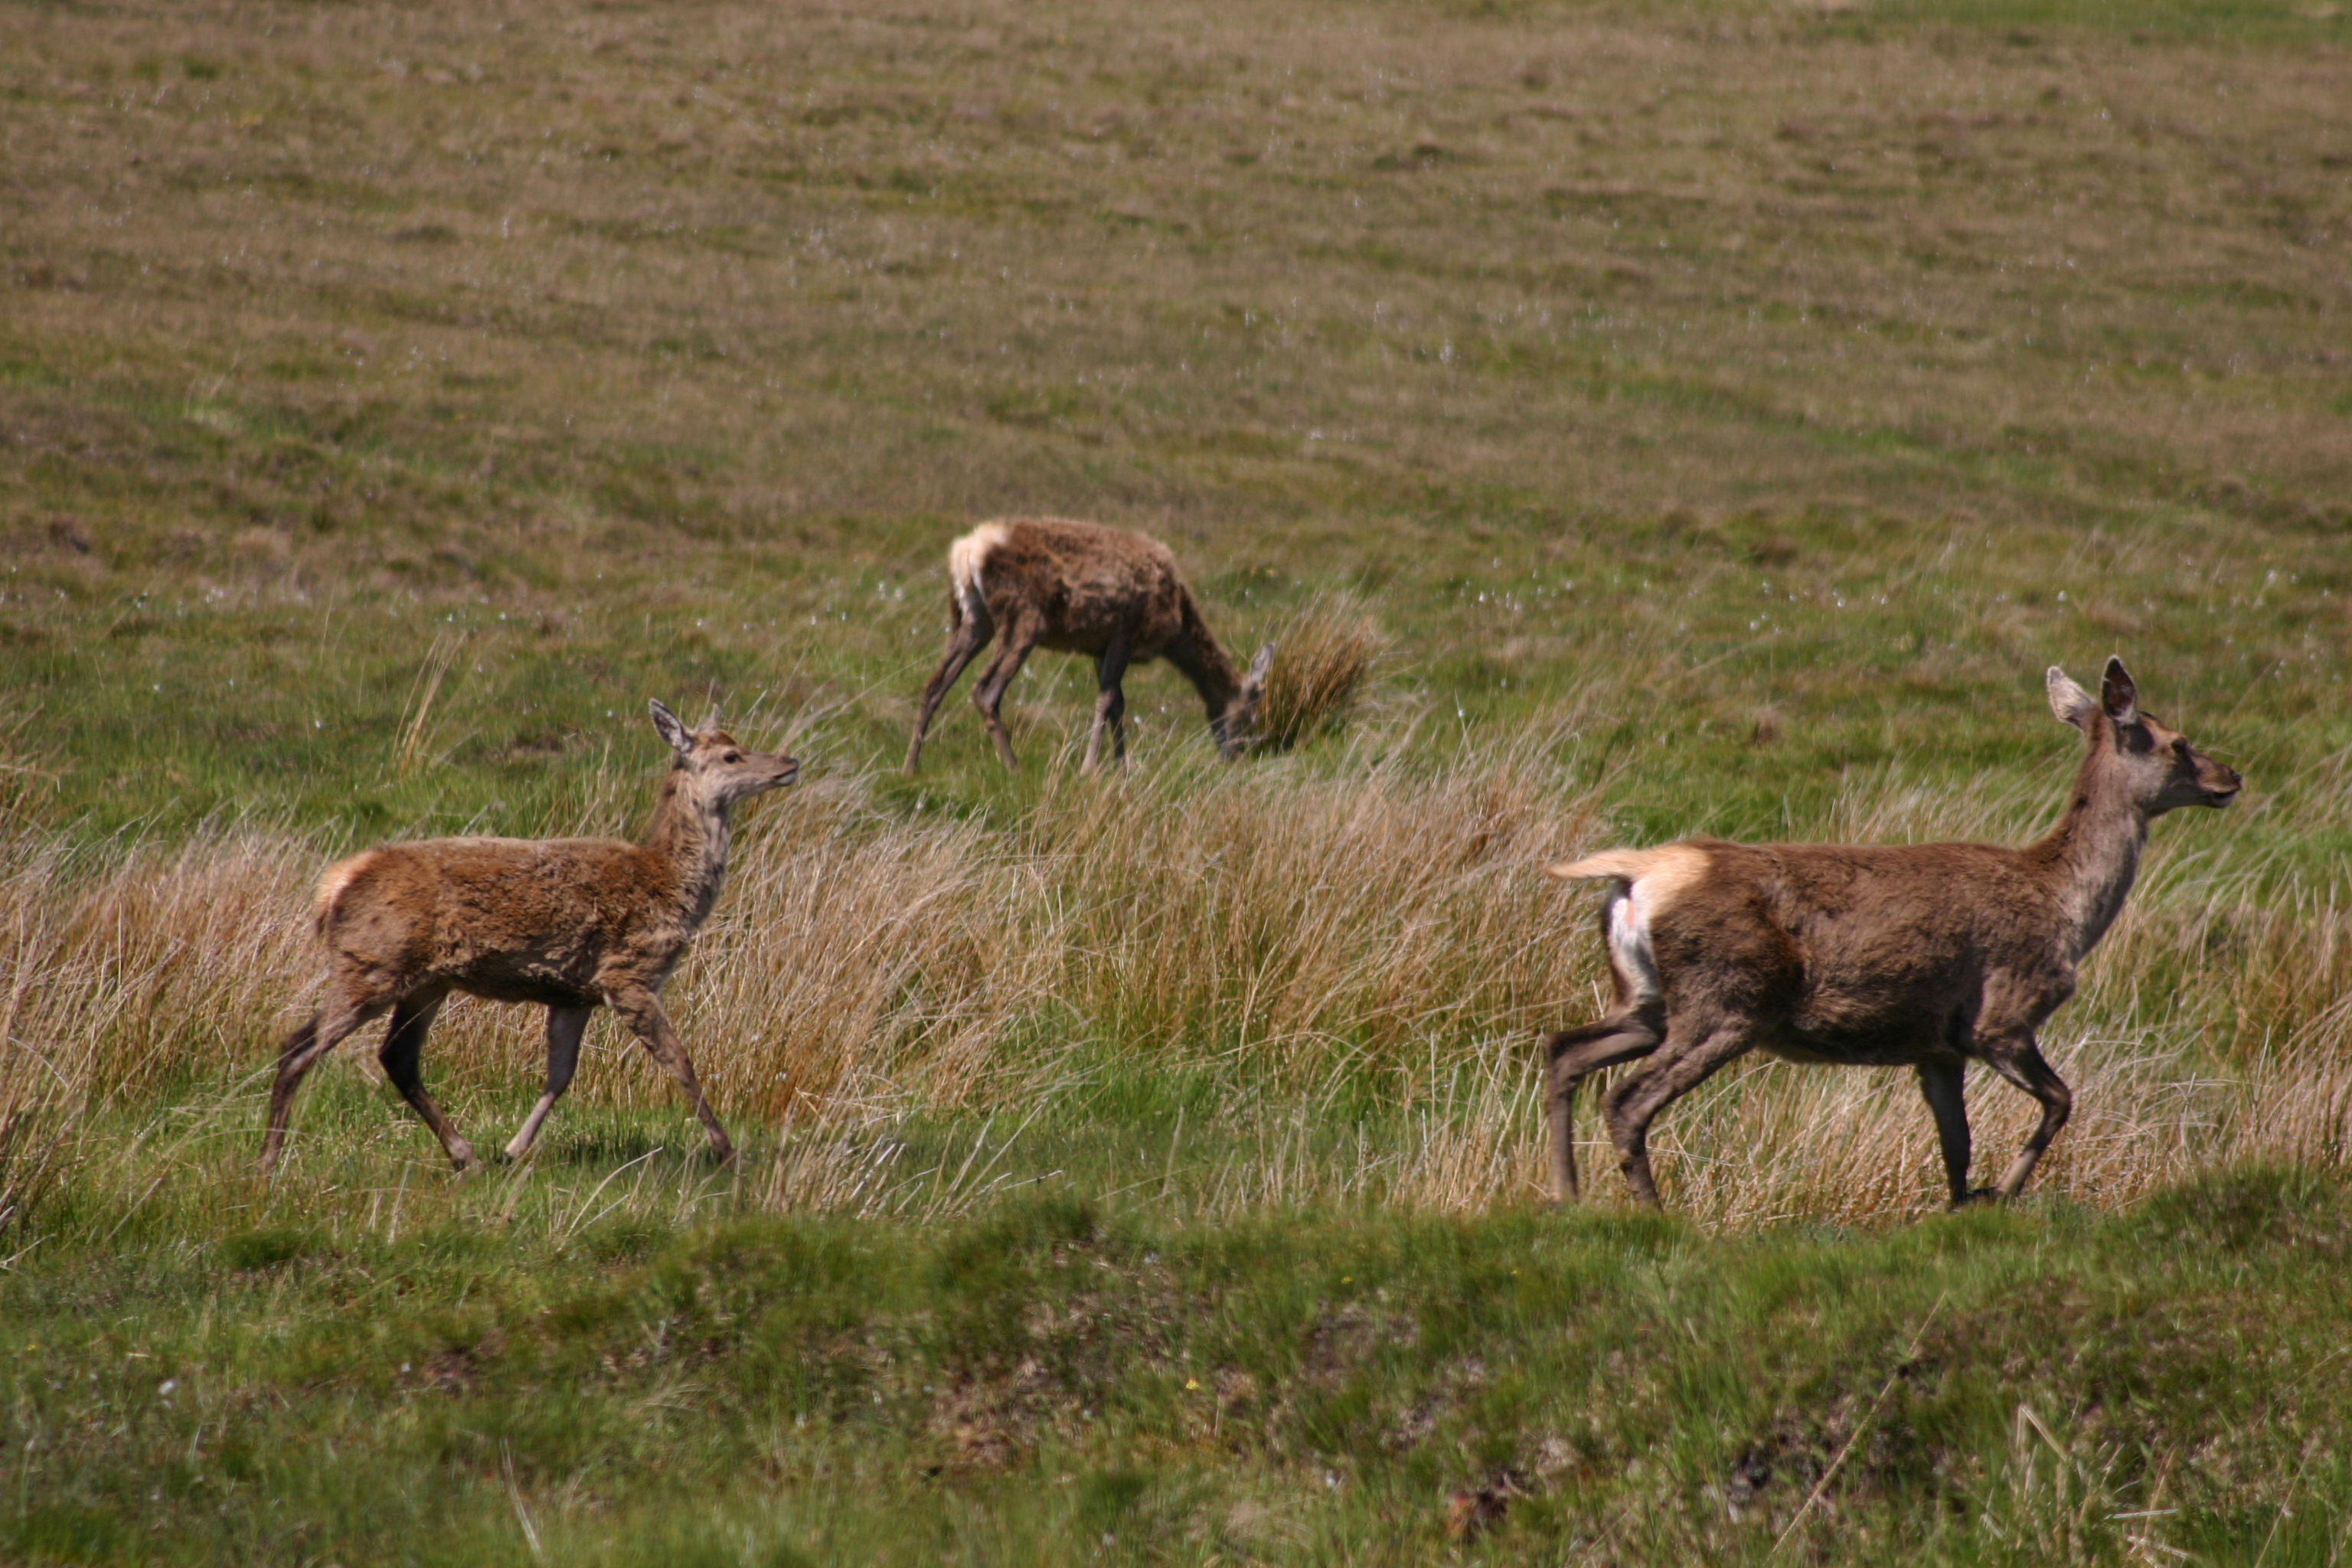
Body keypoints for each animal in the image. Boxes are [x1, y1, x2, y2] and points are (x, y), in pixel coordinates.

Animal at [258, 702, 797, 1175]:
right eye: (731, 755)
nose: (789, 763)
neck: (667, 885)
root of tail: (333, 886)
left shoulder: (574, 994)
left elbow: (560, 1075)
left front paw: (513, 1150)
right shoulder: (628, 973)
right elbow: (679, 1061)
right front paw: (726, 1151)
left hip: (424, 980)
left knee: (393, 1055)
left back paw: (466, 1156)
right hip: (374, 963)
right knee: (301, 1048)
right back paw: (268, 1162)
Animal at [901, 517, 1275, 775]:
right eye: (1251, 715)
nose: (1236, 757)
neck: (1175, 625)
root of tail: (966, 551)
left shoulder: (1100, 645)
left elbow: (1118, 703)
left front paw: (1121, 767)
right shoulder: (1126, 629)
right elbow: (1107, 699)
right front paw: (1090, 768)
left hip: (973, 620)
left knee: (934, 683)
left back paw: (910, 766)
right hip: (1023, 619)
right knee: (985, 690)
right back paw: (1013, 766)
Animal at [1538, 658, 2241, 1212]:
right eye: (2178, 743)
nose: (2231, 777)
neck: (2064, 907)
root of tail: (1639, 875)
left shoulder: (1937, 1047)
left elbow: (1956, 1148)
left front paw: (1959, 1209)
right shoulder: (2002, 1016)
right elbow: (2060, 1100)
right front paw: (2004, 1192)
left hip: (1645, 1000)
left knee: (1564, 1049)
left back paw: (1568, 1197)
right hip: (1728, 1000)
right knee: (1627, 1099)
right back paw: (1654, 1214)